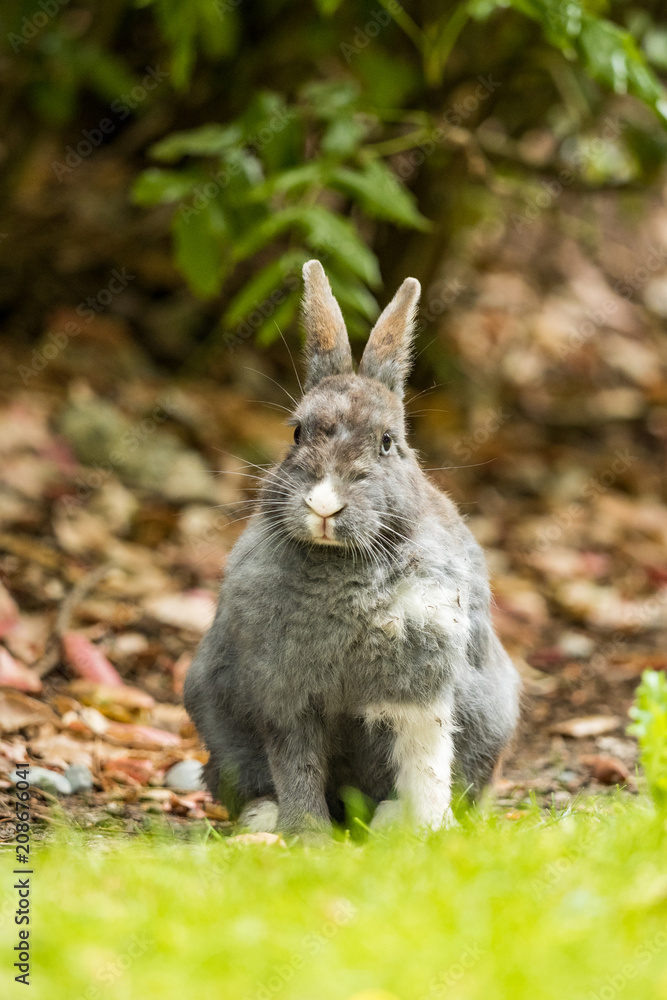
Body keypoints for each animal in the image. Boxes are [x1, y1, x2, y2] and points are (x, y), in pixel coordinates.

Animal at [184, 259, 521, 834]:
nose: (324, 504)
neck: (343, 566)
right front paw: (307, 836)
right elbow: (296, 765)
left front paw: (430, 833)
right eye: (297, 433)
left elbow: (425, 760)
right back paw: (263, 822)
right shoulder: (284, 697)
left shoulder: (421, 687)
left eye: (387, 442)